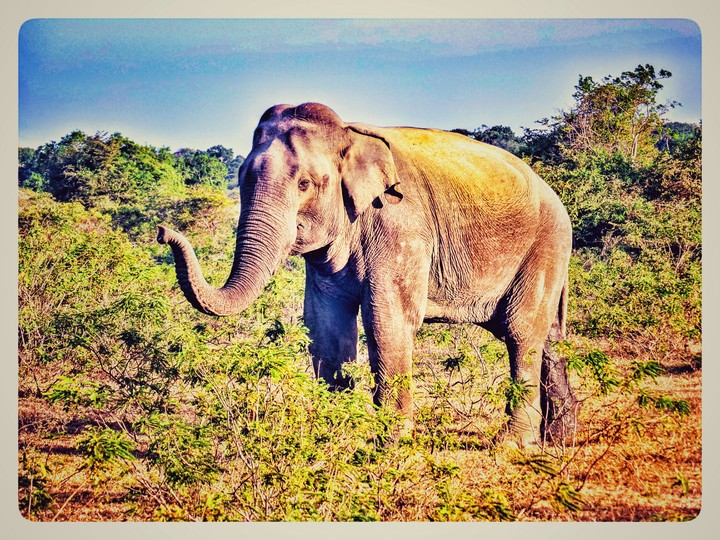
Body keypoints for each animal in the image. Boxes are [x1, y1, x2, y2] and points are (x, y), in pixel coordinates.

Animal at [158, 102, 578, 448]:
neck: (349, 135)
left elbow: (387, 319)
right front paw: (333, 435)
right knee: (549, 337)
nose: (163, 232)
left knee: (521, 333)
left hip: (544, 244)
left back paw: (513, 444)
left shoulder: (401, 227)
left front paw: (391, 446)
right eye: (241, 178)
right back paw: (559, 438)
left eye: (305, 183)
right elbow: (325, 325)